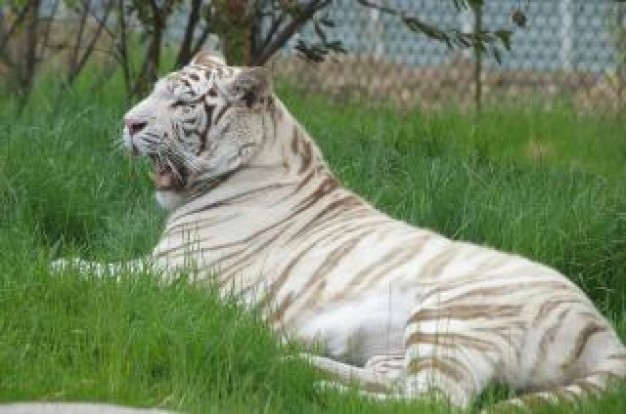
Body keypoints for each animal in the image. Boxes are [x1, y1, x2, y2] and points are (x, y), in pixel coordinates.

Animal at [56, 52, 620, 410]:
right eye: (154, 93)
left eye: (181, 104)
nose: (128, 123)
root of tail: (600, 326)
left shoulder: (171, 274)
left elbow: (92, 270)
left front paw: (53, 265)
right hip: (408, 344)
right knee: (392, 380)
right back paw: (296, 363)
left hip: (452, 314)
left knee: (434, 400)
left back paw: (319, 391)